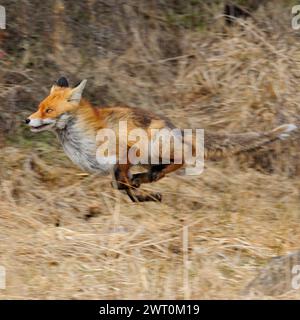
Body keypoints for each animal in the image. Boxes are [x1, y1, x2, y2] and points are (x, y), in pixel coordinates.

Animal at [26, 77, 298, 201]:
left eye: (48, 111)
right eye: (39, 108)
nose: (27, 120)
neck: (81, 141)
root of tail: (176, 128)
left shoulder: (125, 151)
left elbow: (123, 183)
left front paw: (147, 195)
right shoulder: (113, 168)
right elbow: (121, 186)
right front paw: (142, 195)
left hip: (152, 146)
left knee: (185, 157)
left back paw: (153, 176)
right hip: (150, 155)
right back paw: (147, 178)